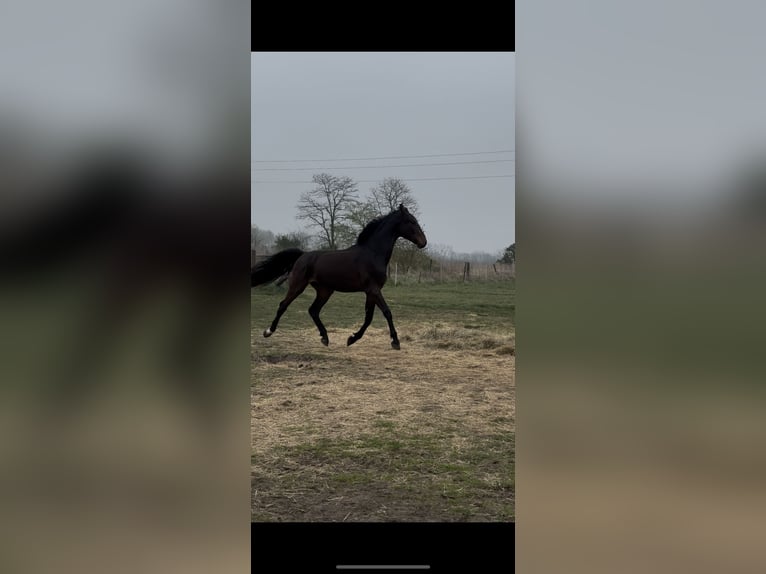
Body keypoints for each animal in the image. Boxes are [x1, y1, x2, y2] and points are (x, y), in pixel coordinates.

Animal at [251, 204, 427, 350]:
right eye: (411, 221)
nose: (423, 242)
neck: (373, 253)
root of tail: (302, 255)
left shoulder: (371, 292)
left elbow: (368, 318)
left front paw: (352, 339)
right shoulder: (374, 289)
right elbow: (386, 312)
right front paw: (395, 342)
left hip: (325, 291)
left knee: (313, 310)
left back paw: (325, 338)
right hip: (298, 286)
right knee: (283, 305)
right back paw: (268, 331)